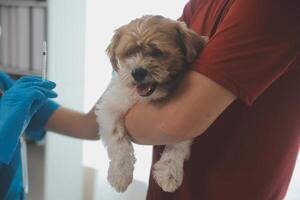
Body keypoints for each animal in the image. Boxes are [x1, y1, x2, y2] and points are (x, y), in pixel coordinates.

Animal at [95, 14, 207, 193]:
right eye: (129, 53)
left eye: (157, 52)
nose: (138, 72)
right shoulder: (110, 108)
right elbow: (118, 140)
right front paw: (120, 174)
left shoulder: (184, 118)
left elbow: (177, 144)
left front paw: (169, 171)